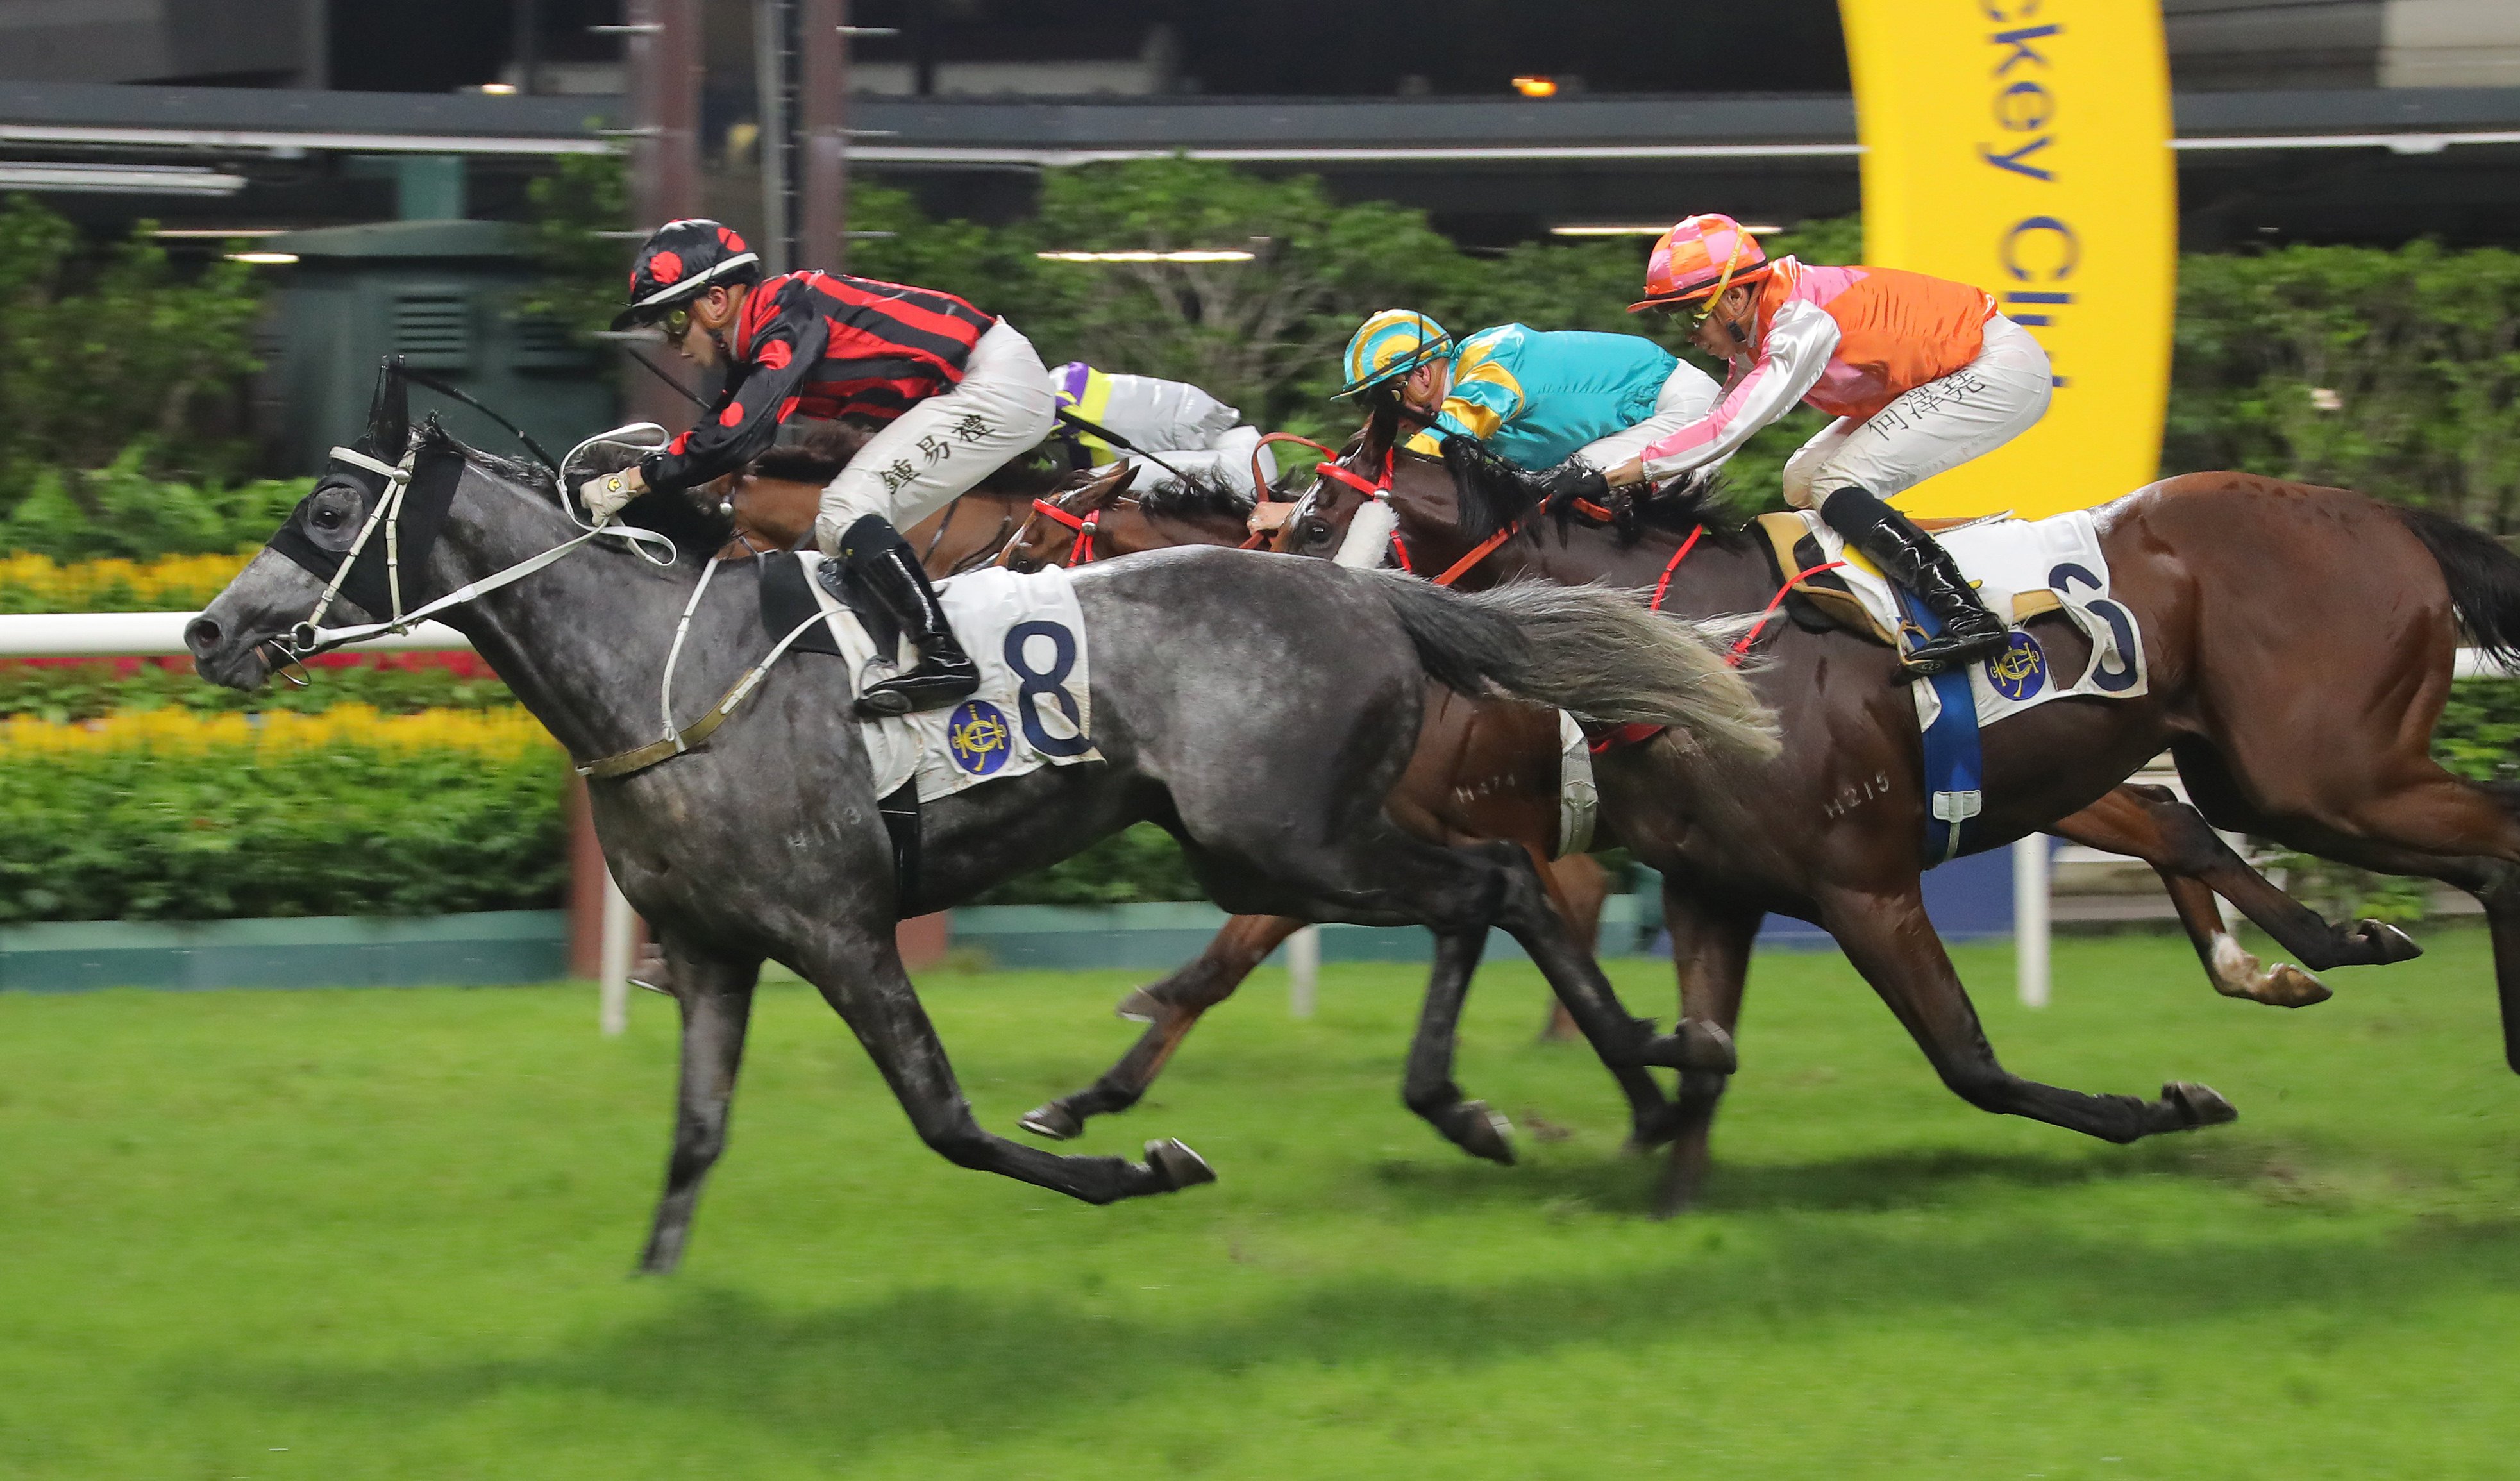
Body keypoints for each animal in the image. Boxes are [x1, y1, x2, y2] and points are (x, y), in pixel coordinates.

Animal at [186, 383, 1774, 1274]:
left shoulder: (839, 931)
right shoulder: (711, 951)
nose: (209, 632)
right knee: (1484, 896)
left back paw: (1623, 1076)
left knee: (1495, 883)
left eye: (325, 511)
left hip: (1291, 835)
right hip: (1264, 840)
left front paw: (1141, 1167)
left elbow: (946, 1122)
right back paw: (1578, 1089)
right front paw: (654, 1282)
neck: (663, 673)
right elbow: (694, 1140)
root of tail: (1367, 586)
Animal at [1280, 410, 2499, 1209]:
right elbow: (1705, 1056)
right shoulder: (1708, 890)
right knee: (2192, 826)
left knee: (2485, 838)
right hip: (2203, 769)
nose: (1274, 626)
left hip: (2323, 773)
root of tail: (2379, 511)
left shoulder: (1865, 888)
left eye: (1313, 523)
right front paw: (1664, 1176)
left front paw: (2166, 1107)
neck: (1702, 650)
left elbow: (1970, 1063)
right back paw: (2316, 949)